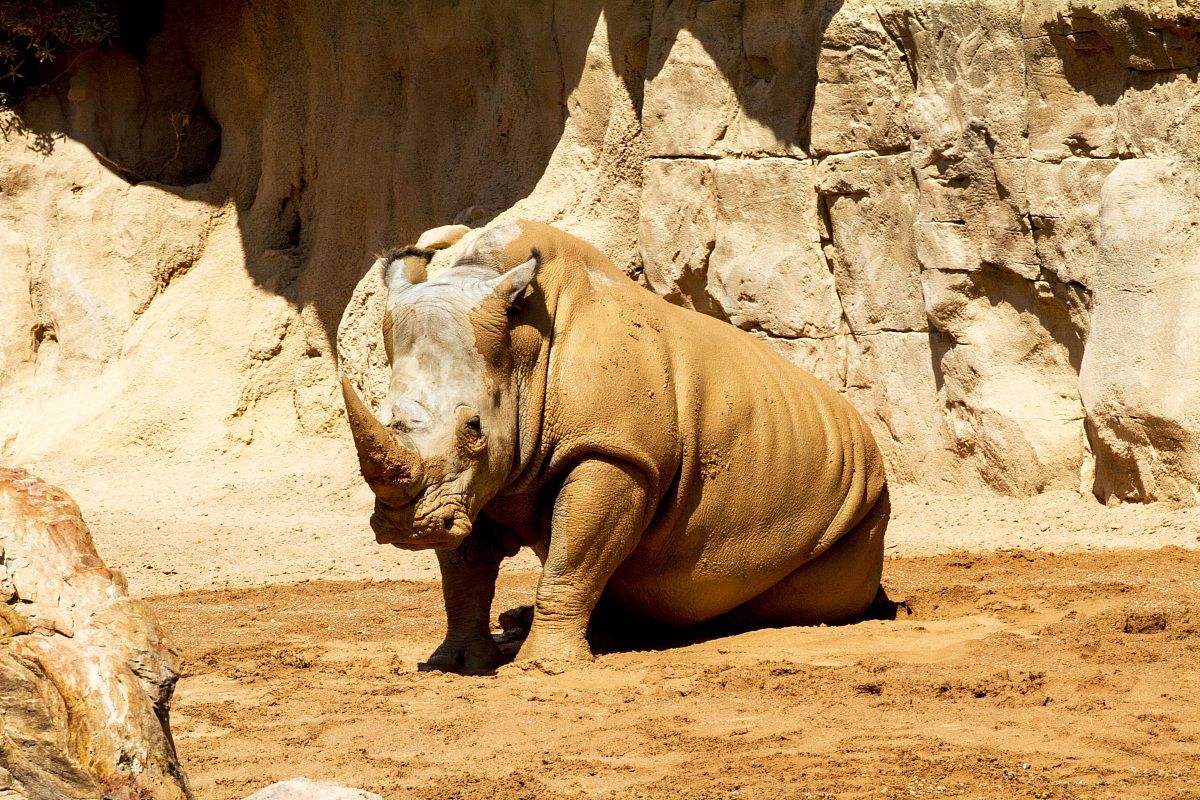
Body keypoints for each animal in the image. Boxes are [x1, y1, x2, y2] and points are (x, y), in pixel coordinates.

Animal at [341, 220, 889, 673]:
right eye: (387, 417)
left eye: (474, 426)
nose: (407, 528)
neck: (523, 353)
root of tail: (865, 436)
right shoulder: (474, 483)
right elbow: (463, 573)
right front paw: (454, 665)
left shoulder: (615, 451)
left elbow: (574, 554)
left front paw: (545, 668)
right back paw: (524, 622)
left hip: (862, 499)